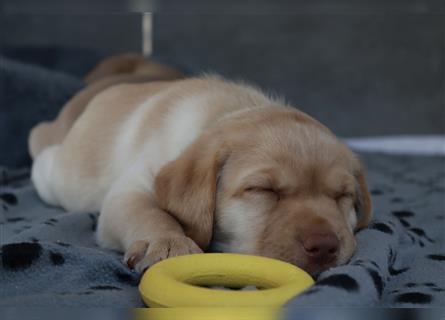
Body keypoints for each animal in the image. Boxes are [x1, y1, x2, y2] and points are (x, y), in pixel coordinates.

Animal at [29, 56, 372, 274]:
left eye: (343, 197)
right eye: (263, 190)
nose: (325, 246)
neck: (225, 113)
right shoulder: (132, 188)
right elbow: (149, 211)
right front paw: (169, 242)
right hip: (56, 177)